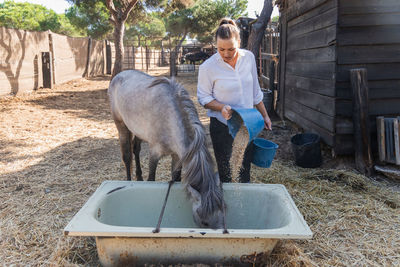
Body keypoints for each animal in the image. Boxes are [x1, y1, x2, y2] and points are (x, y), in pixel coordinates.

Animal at [107, 70, 225, 231]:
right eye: (204, 222)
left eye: (221, 214)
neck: (170, 117)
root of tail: (119, 75)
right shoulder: (154, 154)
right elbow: (151, 178)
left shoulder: (178, 156)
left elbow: (175, 178)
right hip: (121, 126)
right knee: (127, 156)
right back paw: (129, 180)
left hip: (138, 132)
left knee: (136, 150)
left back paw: (139, 178)